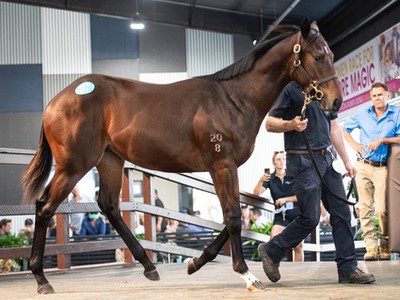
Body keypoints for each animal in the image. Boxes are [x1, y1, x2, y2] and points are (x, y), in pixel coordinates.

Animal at [21, 18, 340, 292]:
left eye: (331, 54)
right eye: (318, 56)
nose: (336, 102)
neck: (233, 100)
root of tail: (56, 101)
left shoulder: (227, 168)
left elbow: (230, 219)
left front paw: (195, 262)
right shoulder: (221, 165)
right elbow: (234, 217)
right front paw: (247, 275)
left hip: (109, 159)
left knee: (108, 205)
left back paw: (149, 266)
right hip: (73, 165)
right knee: (45, 207)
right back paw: (41, 279)